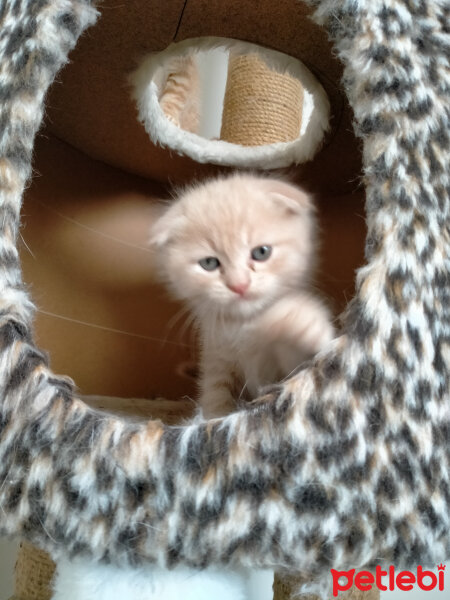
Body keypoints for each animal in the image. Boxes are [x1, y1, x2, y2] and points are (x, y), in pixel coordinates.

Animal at [151, 173, 334, 418]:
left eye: (261, 252)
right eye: (209, 263)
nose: (239, 285)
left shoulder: (289, 368)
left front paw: (304, 321)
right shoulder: (216, 362)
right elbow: (215, 400)